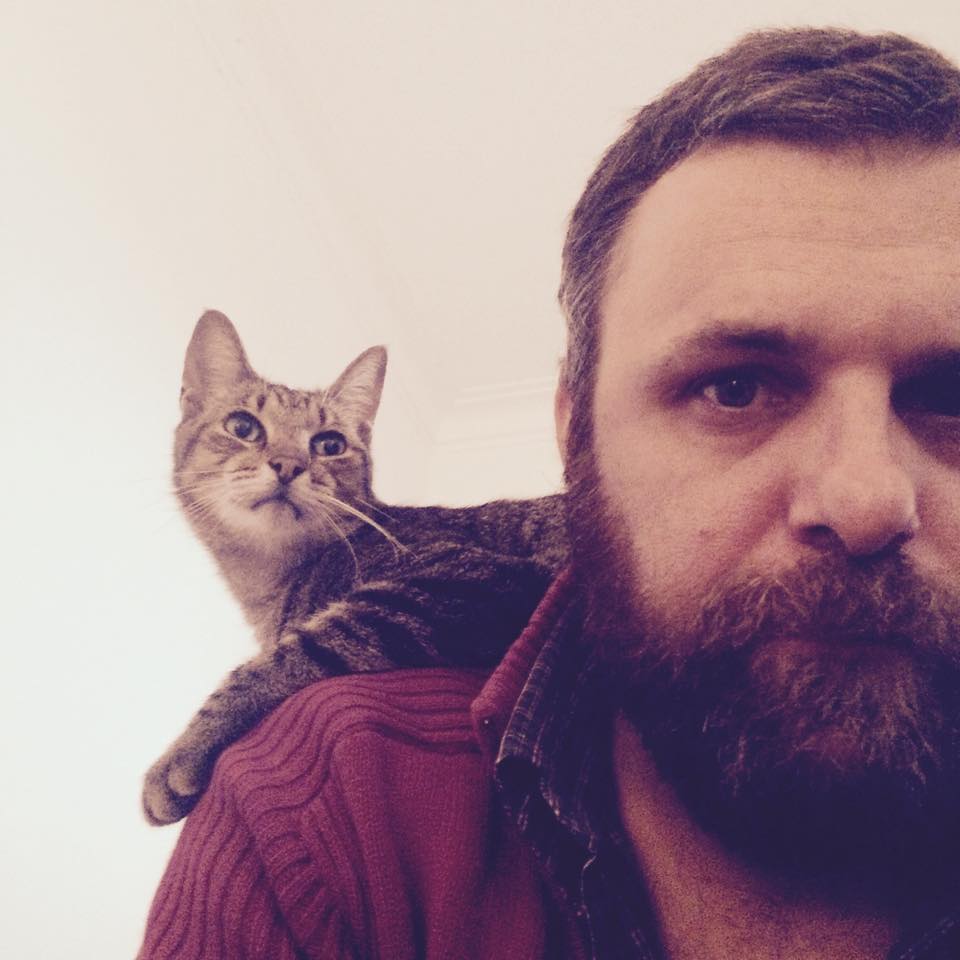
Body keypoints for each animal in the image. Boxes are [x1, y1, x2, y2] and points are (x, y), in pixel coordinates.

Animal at [142, 310, 567, 825]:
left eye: (329, 444)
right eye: (243, 426)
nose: (287, 464)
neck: (271, 581)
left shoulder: (468, 578)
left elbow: (290, 652)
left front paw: (182, 752)